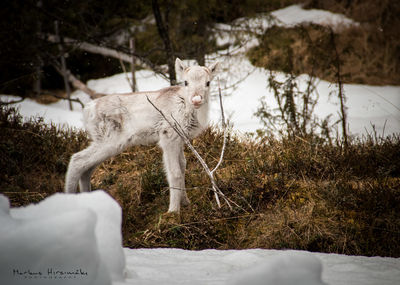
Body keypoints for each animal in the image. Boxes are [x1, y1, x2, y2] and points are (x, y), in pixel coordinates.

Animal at [65, 58, 219, 213]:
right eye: (186, 82)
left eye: (208, 82)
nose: (196, 99)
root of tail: (87, 110)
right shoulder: (168, 136)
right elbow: (175, 173)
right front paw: (173, 211)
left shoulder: (181, 139)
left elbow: (183, 167)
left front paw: (186, 202)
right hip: (109, 140)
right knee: (77, 159)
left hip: (104, 143)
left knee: (86, 169)